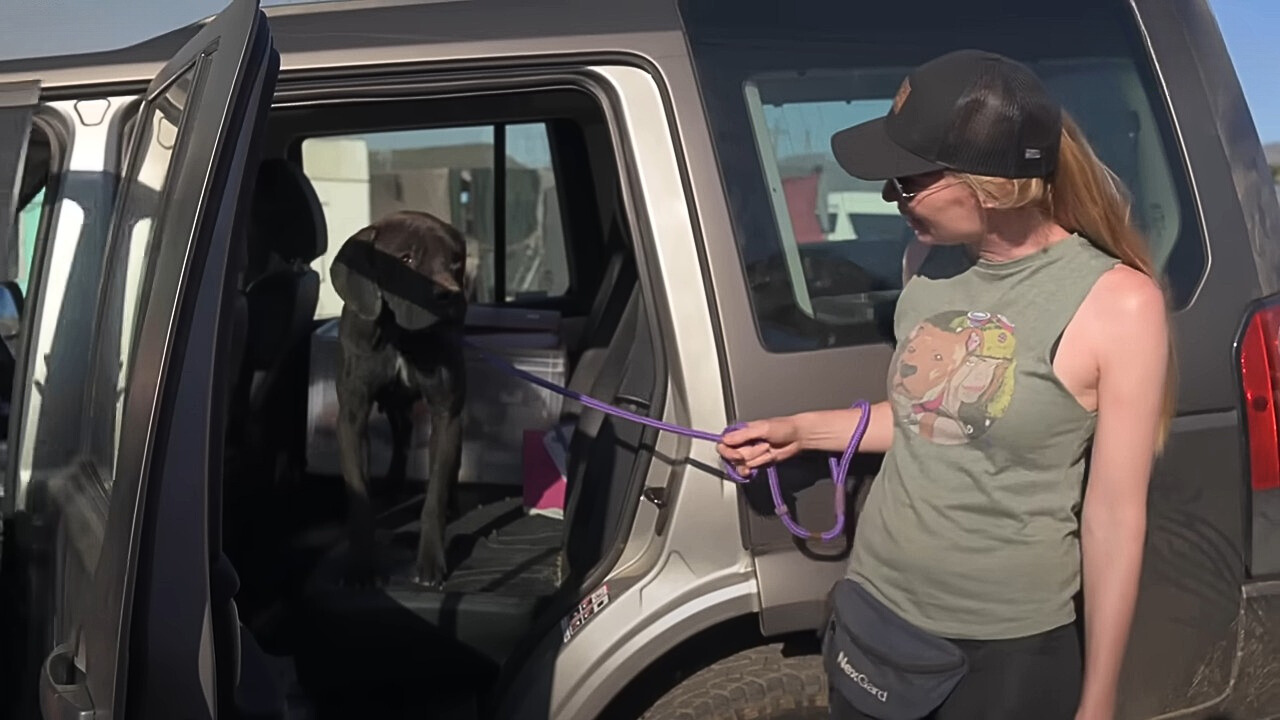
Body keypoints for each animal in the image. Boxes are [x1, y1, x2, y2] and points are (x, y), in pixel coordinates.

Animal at [330, 208, 471, 589]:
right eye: (406, 259)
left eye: (456, 261)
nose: (450, 296)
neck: (397, 335)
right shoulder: (352, 416)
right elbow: (359, 495)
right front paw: (361, 564)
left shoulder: (446, 414)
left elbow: (434, 494)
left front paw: (430, 561)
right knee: (403, 432)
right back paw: (392, 483)